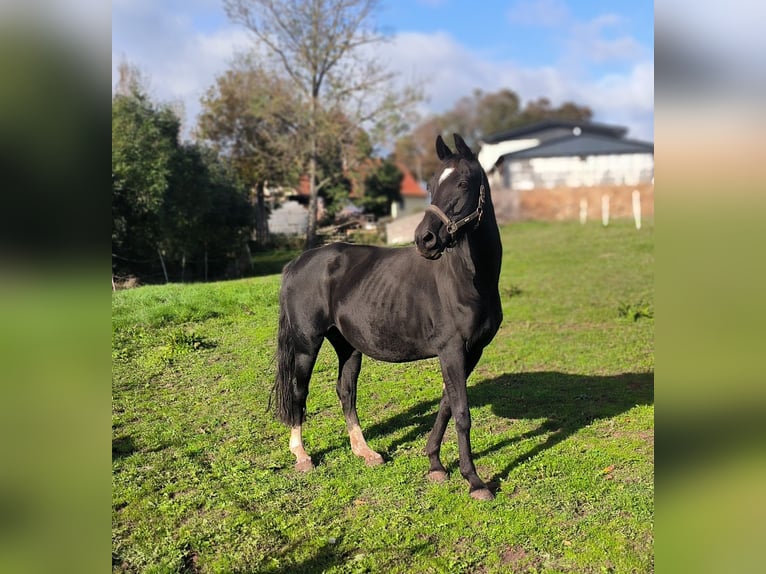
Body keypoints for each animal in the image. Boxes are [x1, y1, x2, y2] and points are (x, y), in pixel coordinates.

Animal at [272, 134, 504, 500]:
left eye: (463, 183)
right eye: (430, 184)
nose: (425, 239)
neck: (469, 280)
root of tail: (297, 263)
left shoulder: (471, 351)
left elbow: (446, 405)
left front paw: (435, 465)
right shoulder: (452, 350)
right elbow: (462, 413)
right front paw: (475, 481)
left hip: (348, 346)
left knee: (346, 392)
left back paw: (366, 452)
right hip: (307, 343)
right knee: (299, 392)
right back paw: (302, 456)